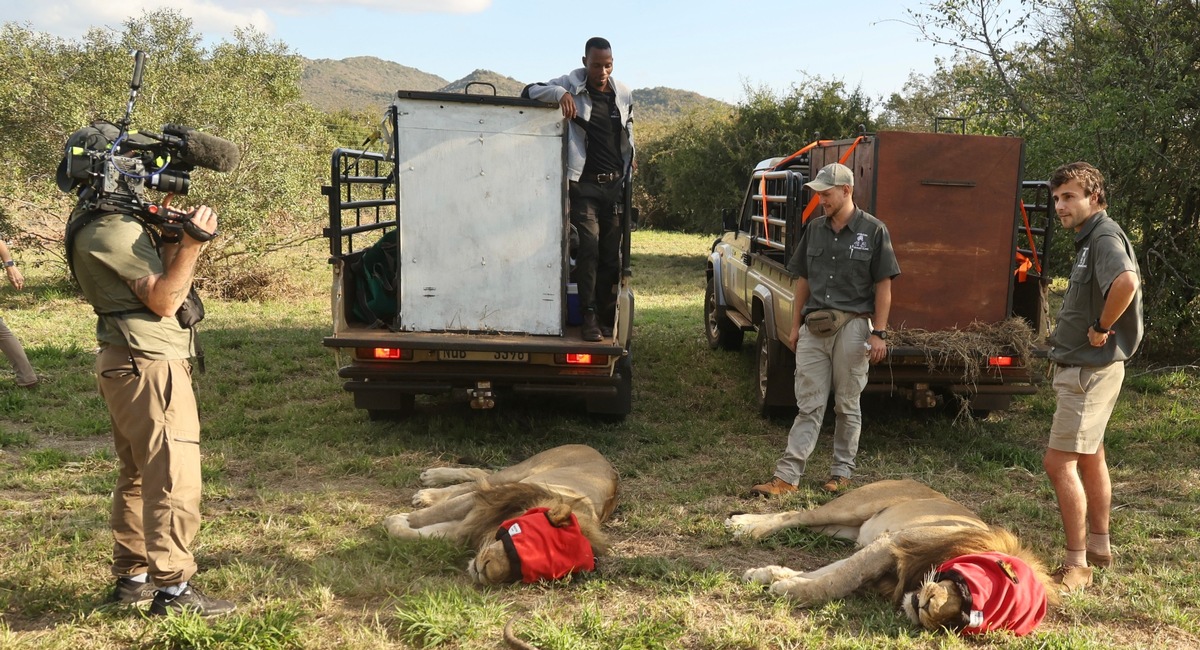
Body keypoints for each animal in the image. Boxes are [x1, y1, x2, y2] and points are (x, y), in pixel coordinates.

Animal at [381, 446, 614, 587]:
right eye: (524, 540)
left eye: (526, 572)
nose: (486, 572)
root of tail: (598, 453)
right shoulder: (486, 500)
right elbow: (436, 512)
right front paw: (395, 519)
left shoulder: (467, 528)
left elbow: (425, 534)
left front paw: (398, 523)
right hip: (517, 473)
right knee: (476, 478)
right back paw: (429, 486)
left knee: (477, 478)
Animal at [724, 479, 1056, 638]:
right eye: (967, 596)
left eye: (961, 623)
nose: (926, 608)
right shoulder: (893, 543)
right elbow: (841, 578)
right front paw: (783, 587)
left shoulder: (880, 553)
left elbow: (830, 572)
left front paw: (774, 577)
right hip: (851, 507)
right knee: (796, 514)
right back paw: (745, 526)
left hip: (844, 529)